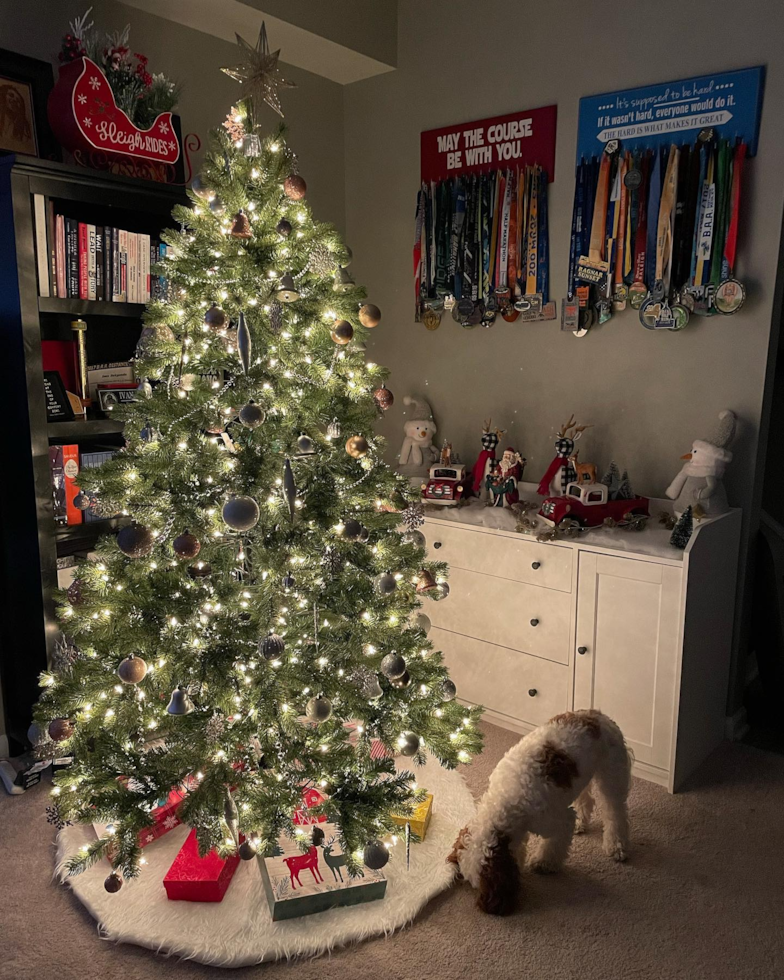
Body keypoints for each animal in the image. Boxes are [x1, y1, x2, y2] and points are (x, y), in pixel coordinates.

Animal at [448, 708, 632, 916]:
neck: (505, 801)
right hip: (582, 777)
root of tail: (597, 714)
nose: (488, 904)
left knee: (615, 813)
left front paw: (544, 864)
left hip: (612, 776)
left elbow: (553, 846)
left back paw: (616, 846)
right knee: (586, 800)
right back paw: (582, 825)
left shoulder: (558, 820)